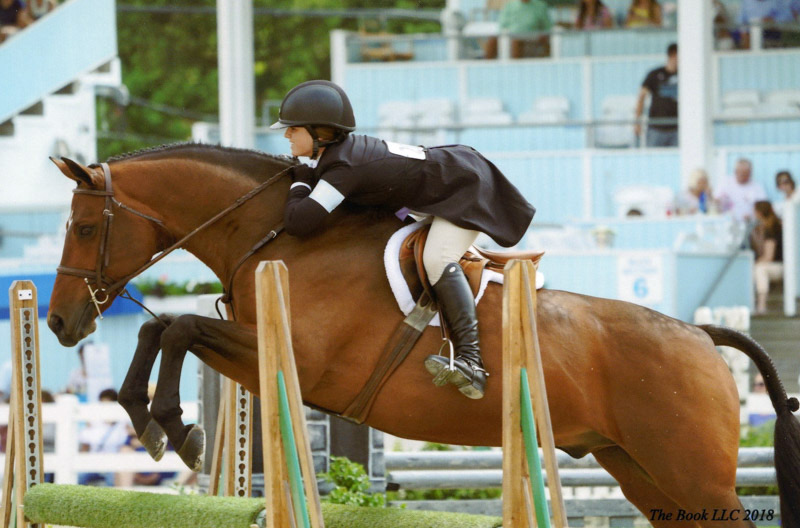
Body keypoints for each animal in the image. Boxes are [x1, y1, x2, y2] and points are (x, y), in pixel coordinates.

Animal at [45, 142, 800, 524]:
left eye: (81, 226)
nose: (58, 322)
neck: (277, 237)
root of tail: (701, 336)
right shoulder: (263, 356)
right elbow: (165, 331)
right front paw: (154, 423)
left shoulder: (295, 363)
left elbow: (177, 329)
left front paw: (177, 429)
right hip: (643, 472)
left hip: (694, 475)